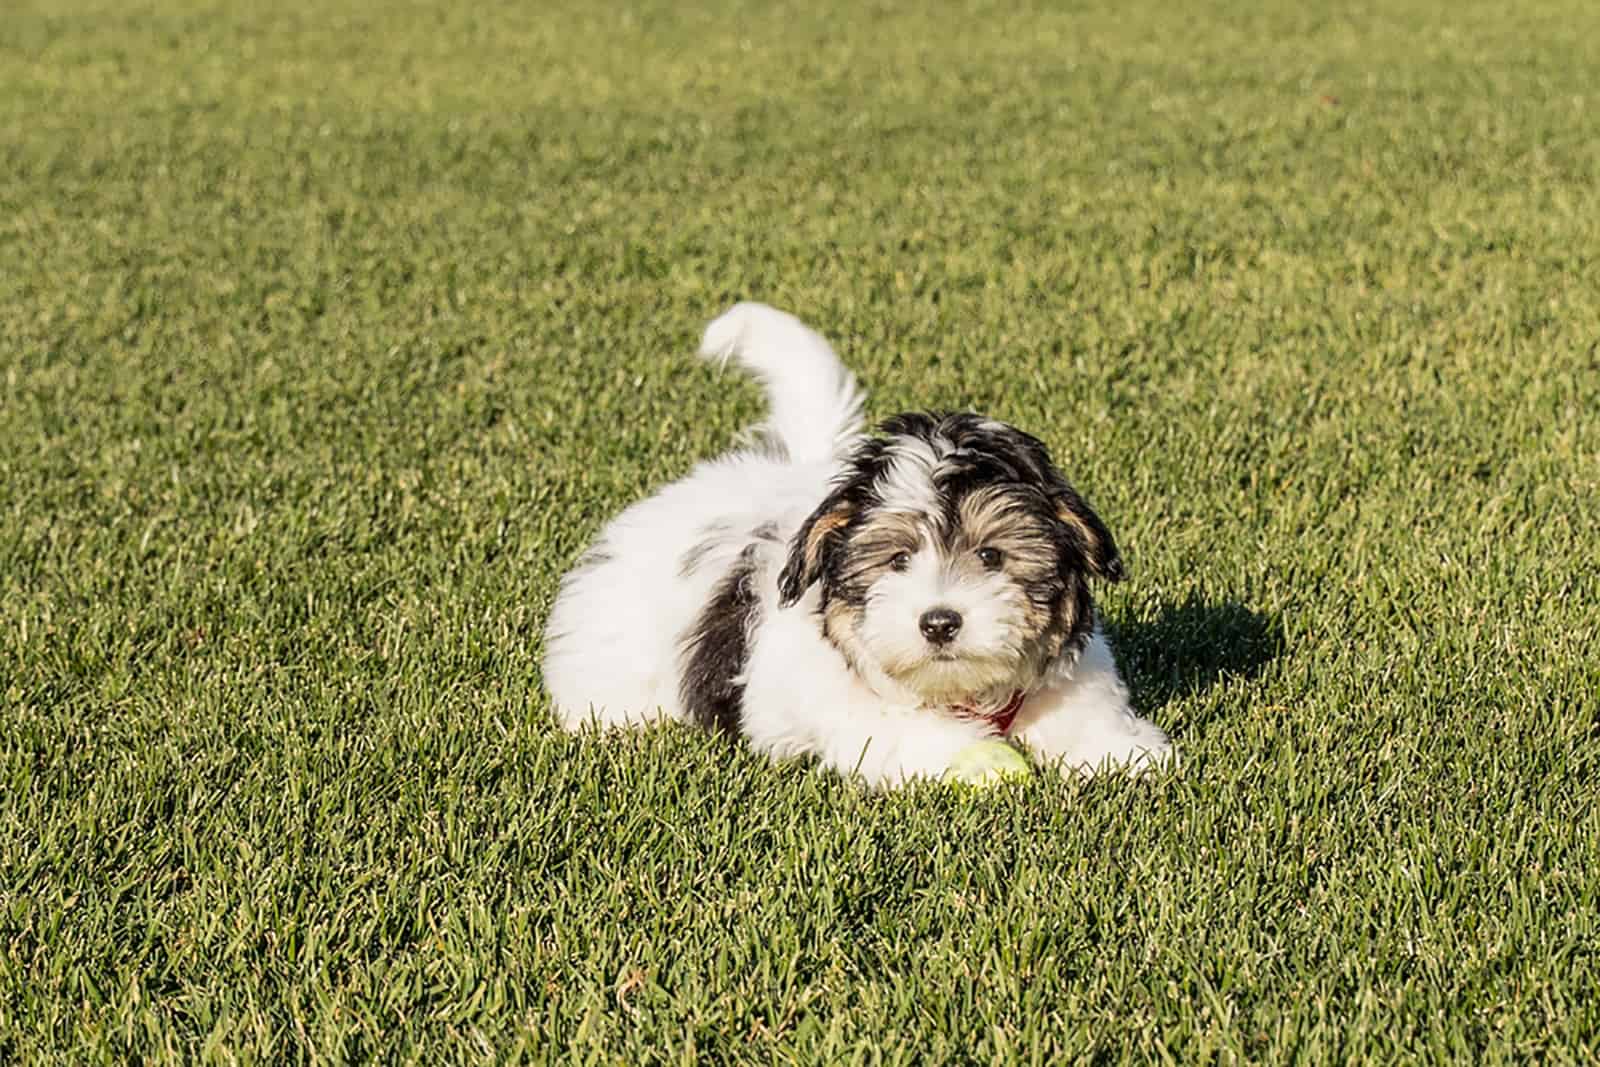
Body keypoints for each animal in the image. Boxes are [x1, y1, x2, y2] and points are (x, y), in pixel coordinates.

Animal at [544, 303, 1171, 790]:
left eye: (990, 556)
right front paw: (972, 757)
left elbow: (1083, 712)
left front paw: (1121, 751)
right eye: (898, 559)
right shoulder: (840, 703)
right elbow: (897, 728)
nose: (939, 623)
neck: (963, 693)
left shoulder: (1075, 674)